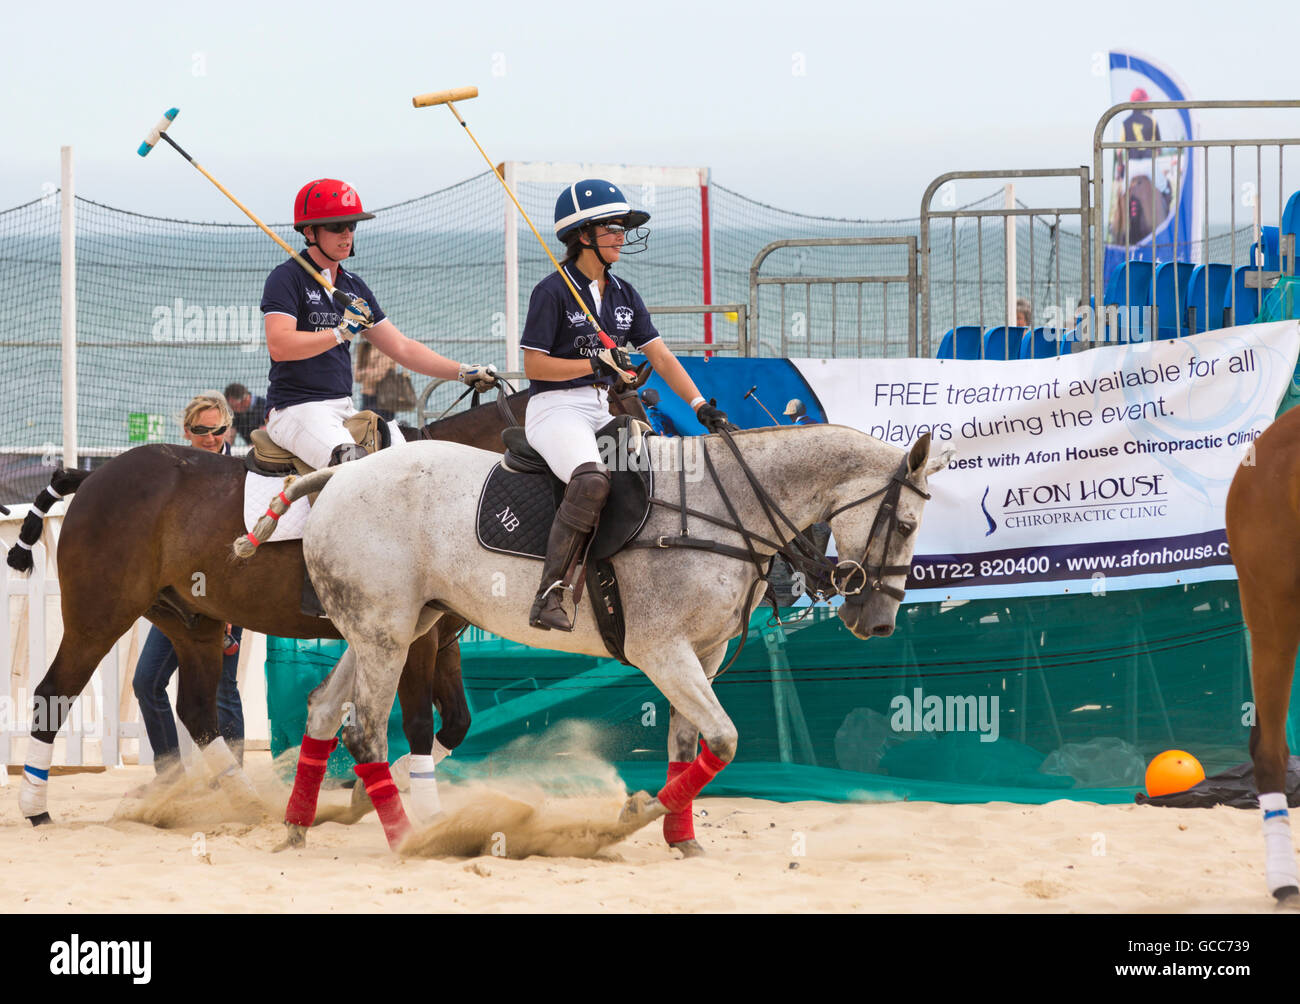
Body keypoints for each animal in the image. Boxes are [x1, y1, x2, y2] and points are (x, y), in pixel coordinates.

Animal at [13, 374, 650, 821]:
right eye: (638, 421)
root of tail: (94, 475)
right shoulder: (414, 637)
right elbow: (420, 721)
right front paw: (393, 789)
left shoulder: (440, 637)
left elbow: (458, 722)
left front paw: (374, 783)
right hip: (99, 614)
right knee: (53, 692)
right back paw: (36, 807)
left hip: (192, 623)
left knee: (195, 709)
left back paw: (250, 803)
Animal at [244, 426, 951, 853]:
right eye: (907, 524)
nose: (879, 623)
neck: (725, 514)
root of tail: (338, 478)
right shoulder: (662, 651)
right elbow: (723, 740)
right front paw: (634, 816)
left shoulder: (700, 656)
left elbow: (689, 746)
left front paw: (682, 838)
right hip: (388, 634)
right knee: (364, 729)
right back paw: (404, 839)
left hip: (389, 628)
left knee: (323, 710)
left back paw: (297, 828)